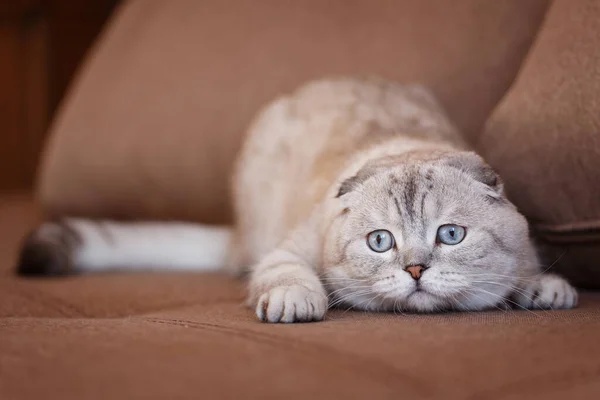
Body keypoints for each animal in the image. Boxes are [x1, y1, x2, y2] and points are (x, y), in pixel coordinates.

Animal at [16, 77, 576, 322]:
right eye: (380, 242)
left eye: (451, 235)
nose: (416, 270)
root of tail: (239, 233)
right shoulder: (288, 249)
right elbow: (288, 274)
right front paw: (296, 302)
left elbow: (527, 268)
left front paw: (543, 289)